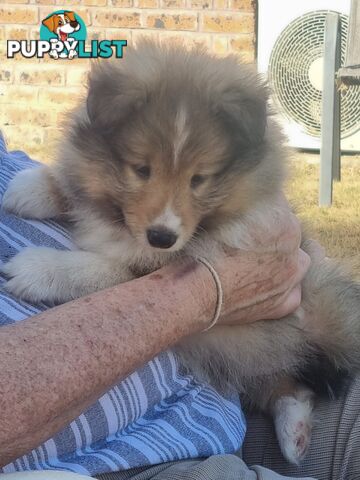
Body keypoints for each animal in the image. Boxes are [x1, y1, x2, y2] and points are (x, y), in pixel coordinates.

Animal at [2, 40, 360, 464]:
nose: (162, 237)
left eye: (199, 179)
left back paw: (294, 434)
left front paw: (37, 268)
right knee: (287, 382)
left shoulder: (151, 263)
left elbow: (100, 269)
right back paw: (295, 433)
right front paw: (30, 188)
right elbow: (76, 186)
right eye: (141, 169)